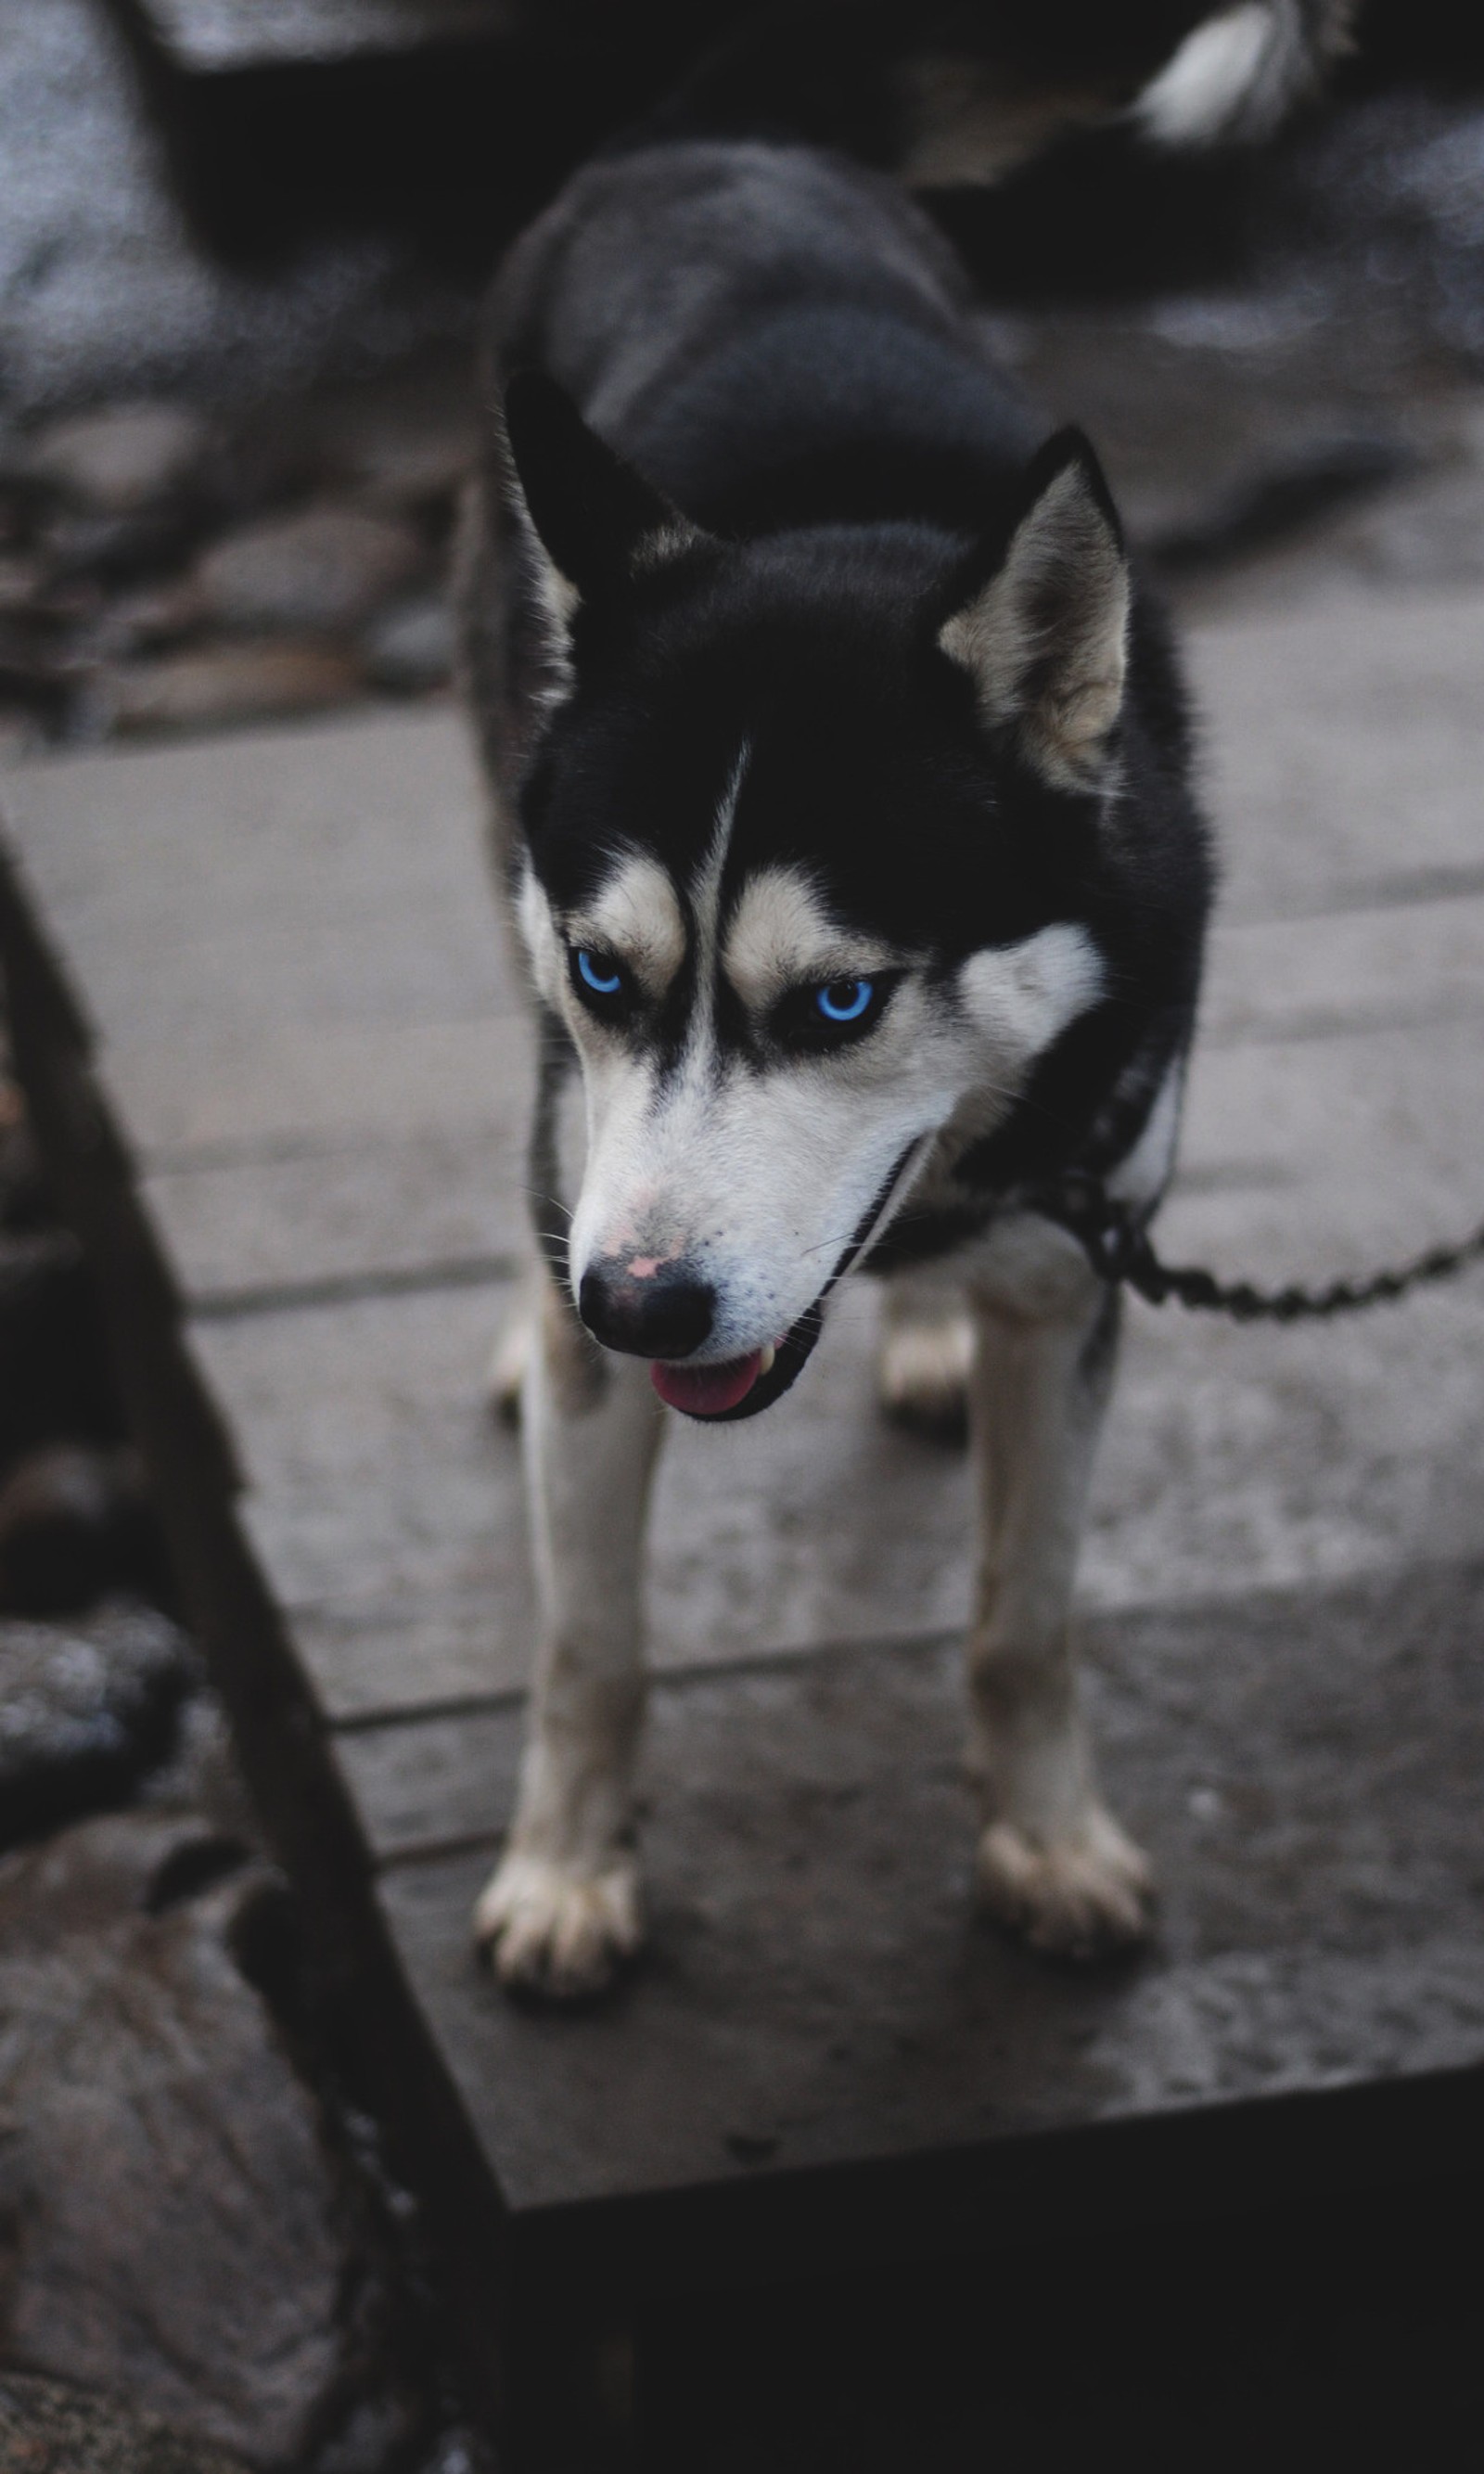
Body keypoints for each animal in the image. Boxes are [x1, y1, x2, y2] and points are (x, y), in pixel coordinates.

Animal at [460, 0, 1345, 1998]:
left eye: (843, 1003)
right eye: (611, 972)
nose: (637, 1303)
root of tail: (717, 137)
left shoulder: (1079, 1275)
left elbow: (1026, 1618)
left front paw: (1046, 1839)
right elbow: (587, 1643)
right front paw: (565, 1869)